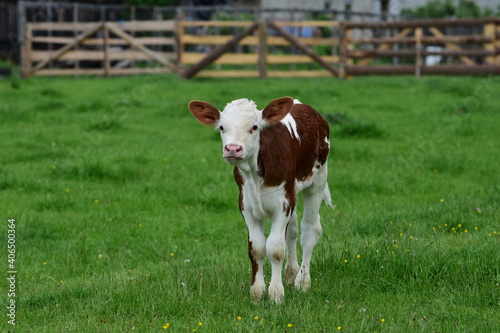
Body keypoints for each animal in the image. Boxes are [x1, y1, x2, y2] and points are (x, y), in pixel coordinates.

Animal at [188, 95, 332, 300]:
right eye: (222, 127)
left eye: (254, 127)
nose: (233, 149)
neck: (254, 172)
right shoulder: (246, 204)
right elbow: (256, 248)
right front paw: (257, 291)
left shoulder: (282, 203)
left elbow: (275, 248)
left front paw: (276, 293)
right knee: (293, 230)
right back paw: (291, 273)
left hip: (317, 181)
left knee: (310, 230)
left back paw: (302, 281)